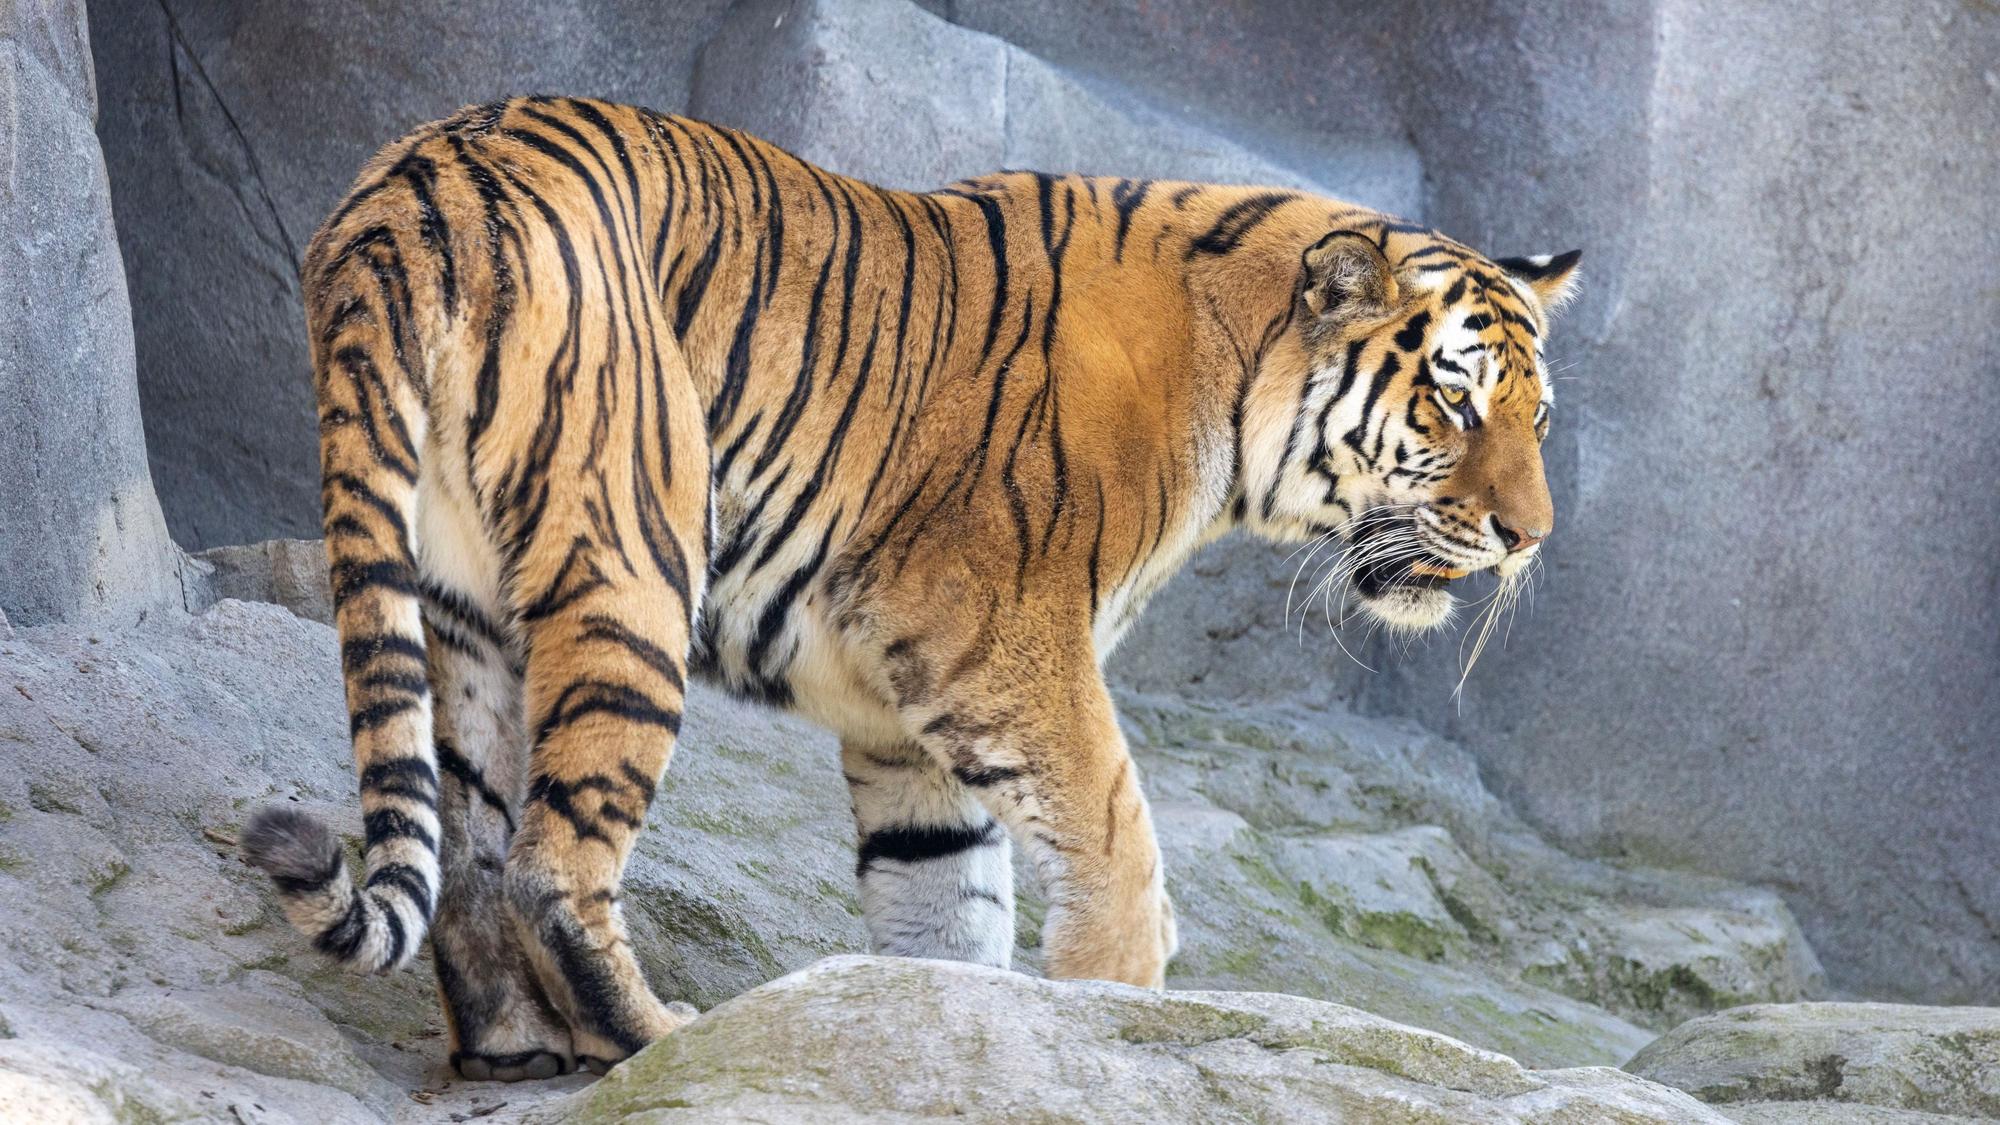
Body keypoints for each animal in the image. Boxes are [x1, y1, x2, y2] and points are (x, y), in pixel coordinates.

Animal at [239, 95, 1578, 1081]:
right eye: (1452, 401)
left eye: (1536, 416)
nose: (1528, 537)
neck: (1233, 390)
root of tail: (409, 190)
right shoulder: (1001, 636)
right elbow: (1115, 841)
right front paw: (1116, 1009)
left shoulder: (906, 710)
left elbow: (946, 900)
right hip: (634, 558)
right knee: (547, 860)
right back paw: (660, 1042)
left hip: (462, 607)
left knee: (468, 845)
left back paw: (514, 1051)